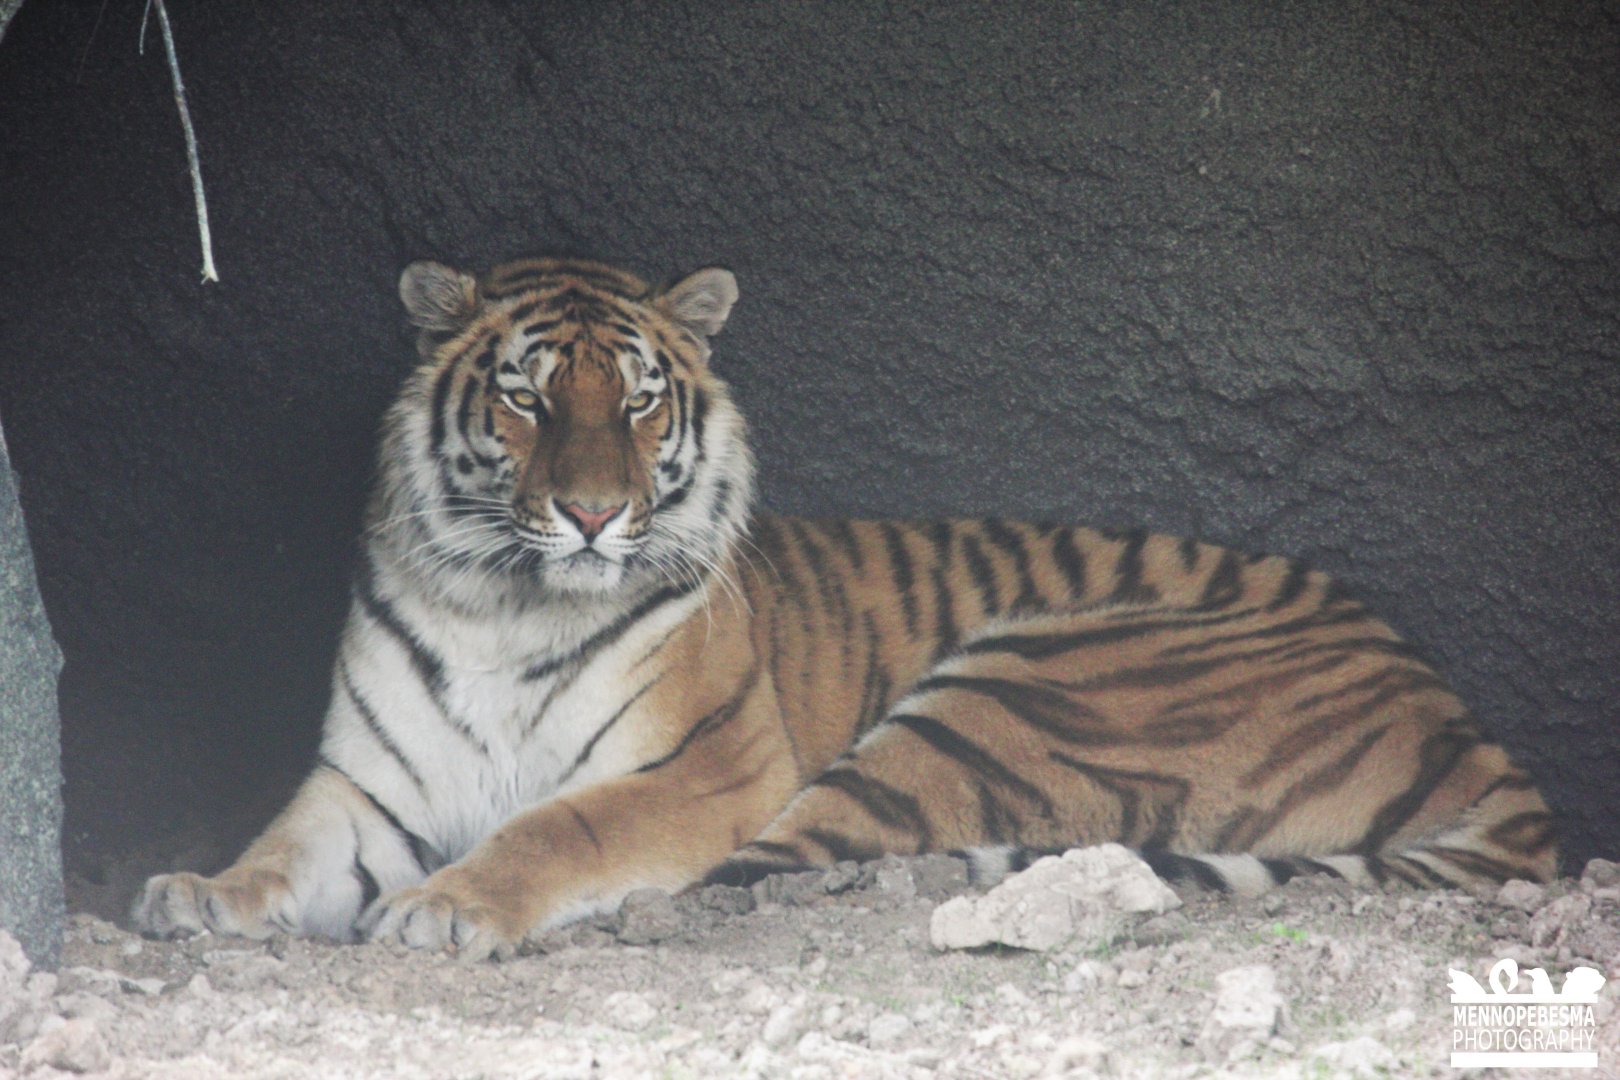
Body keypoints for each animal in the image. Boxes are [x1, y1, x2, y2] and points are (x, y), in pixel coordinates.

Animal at [132, 256, 1558, 960]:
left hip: (1019, 687)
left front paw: (447, 906)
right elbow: (285, 847)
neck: (506, 604)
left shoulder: (707, 769)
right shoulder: (366, 783)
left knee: (797, 859)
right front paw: (201, 893)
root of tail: (1468, 722)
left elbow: (560, 828)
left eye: (638, 401)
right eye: (528, 399)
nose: (590, 514)